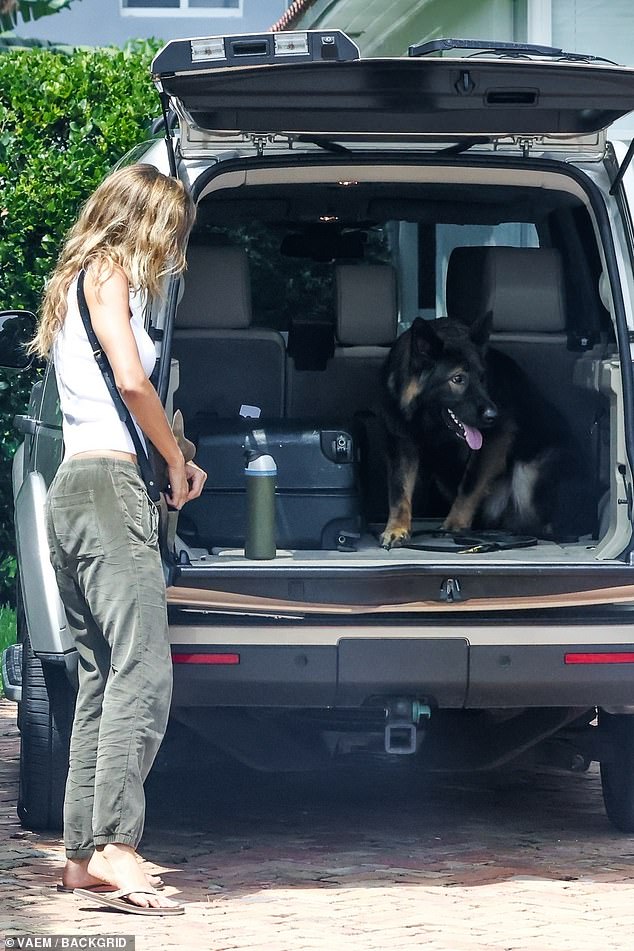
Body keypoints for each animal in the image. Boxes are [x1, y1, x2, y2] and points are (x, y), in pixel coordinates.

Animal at [380, 314, 592, 552]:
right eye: (458, 379)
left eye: (482, 378)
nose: (493, 415)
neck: (430, 423)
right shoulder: (401, 445)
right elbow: (399, 492)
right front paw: (396, 529)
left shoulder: (496, 440)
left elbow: (470, 483)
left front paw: (454, 525)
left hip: (532, 470)